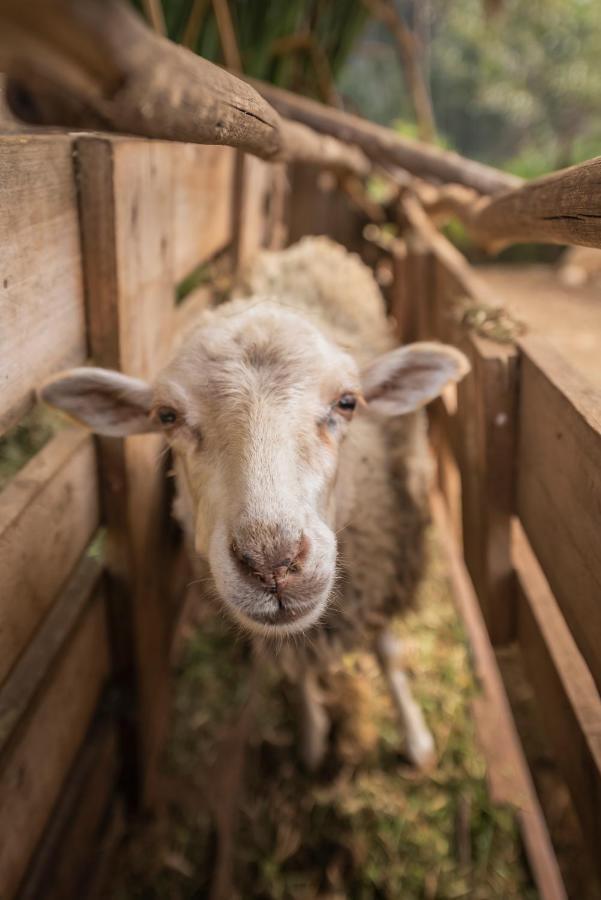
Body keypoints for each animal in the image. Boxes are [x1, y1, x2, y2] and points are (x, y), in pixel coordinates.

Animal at [39, 237, 468, 768]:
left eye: (348, 402)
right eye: (167, 415)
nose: (272, 562)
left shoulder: (389, 561)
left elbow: (388, 651)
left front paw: (416, 739)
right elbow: (297, 668)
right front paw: (312, 736)